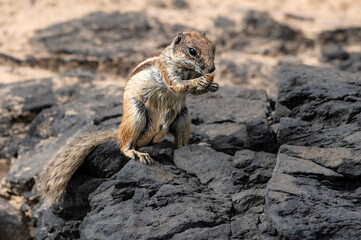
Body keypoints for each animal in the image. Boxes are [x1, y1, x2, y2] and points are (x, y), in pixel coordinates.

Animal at [40, 31, 218, 204]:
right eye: (192, 51)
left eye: (213, 47)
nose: (212, 69)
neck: (187, 69)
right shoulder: (167, 70)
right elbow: (178, 85)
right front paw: (199, 81)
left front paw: (211, 86)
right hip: (135, 116)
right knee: (125, 145)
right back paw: (135, 153)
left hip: (183, 117)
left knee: (179, 142)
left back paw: (195, 145)